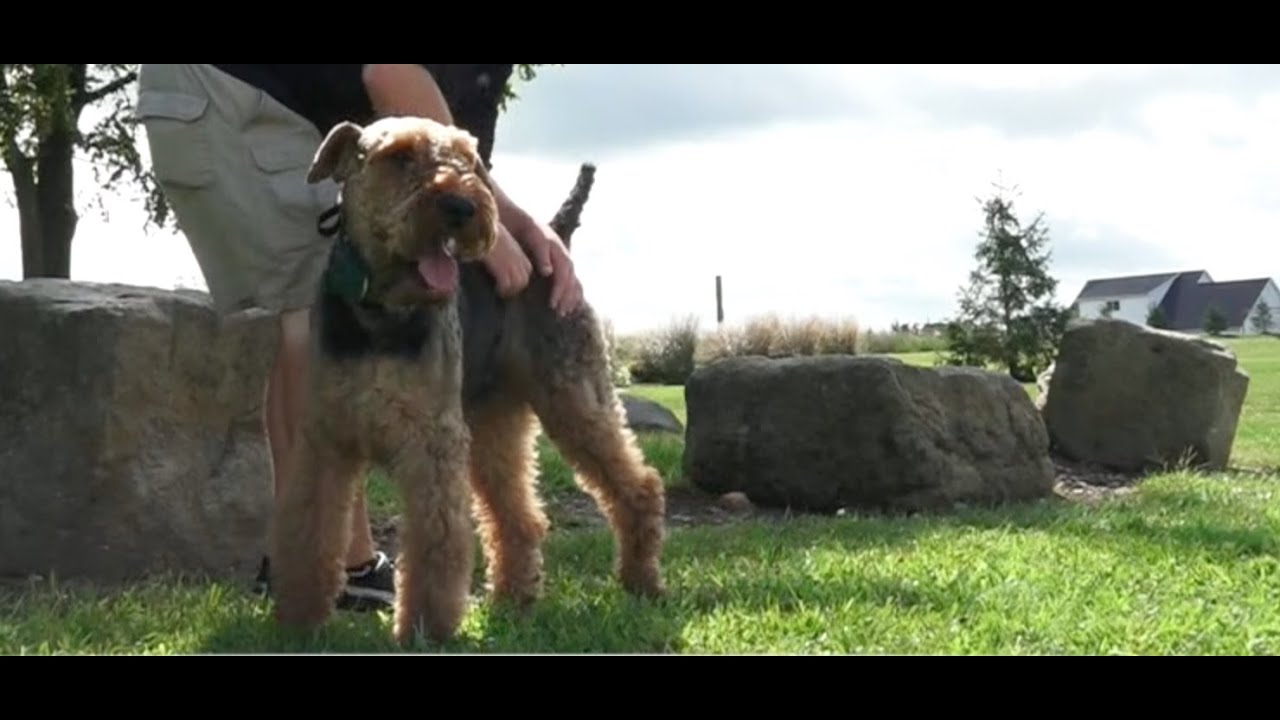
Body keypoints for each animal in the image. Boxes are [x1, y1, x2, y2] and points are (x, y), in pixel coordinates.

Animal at [271, 114, 670, 640]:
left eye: (468, 158)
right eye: (399, 156)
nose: (462, 206)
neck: (381, 310)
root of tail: (554, 236)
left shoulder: (432, 443)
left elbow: (436, 544)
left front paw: (424, 631)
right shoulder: (327, 441)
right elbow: (308, 533)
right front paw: (298, 623)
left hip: (575, 398)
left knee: (638, 486)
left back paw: (641, 581)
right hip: (493, 423)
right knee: (519, 517)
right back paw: (515, 599)